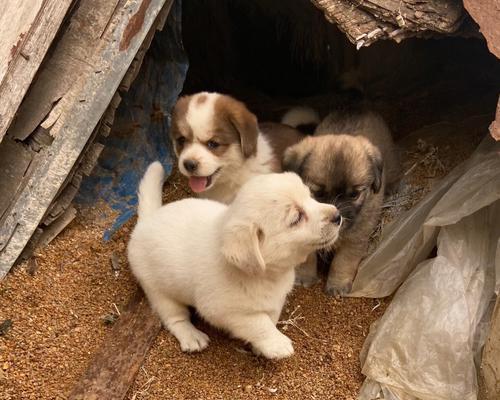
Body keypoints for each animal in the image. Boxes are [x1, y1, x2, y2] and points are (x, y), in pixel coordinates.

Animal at [127, 162, 342, 360]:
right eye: (296, 218)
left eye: (310, 196)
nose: (338, 216)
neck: (268, 274)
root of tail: (146, 221)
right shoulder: (223, 311)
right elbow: (259, 323)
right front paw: (276, 343)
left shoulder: (275, 302)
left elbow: (269, 318)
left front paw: (260, 347)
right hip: (160, 293)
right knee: (175, 318)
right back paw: (191, 336)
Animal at [284, 111, 400, 296]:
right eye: (317, 193)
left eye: (354, 195)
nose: (338, 218)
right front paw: (304, 277)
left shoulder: (355, 239)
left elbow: (342, 263)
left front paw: (337, 285)